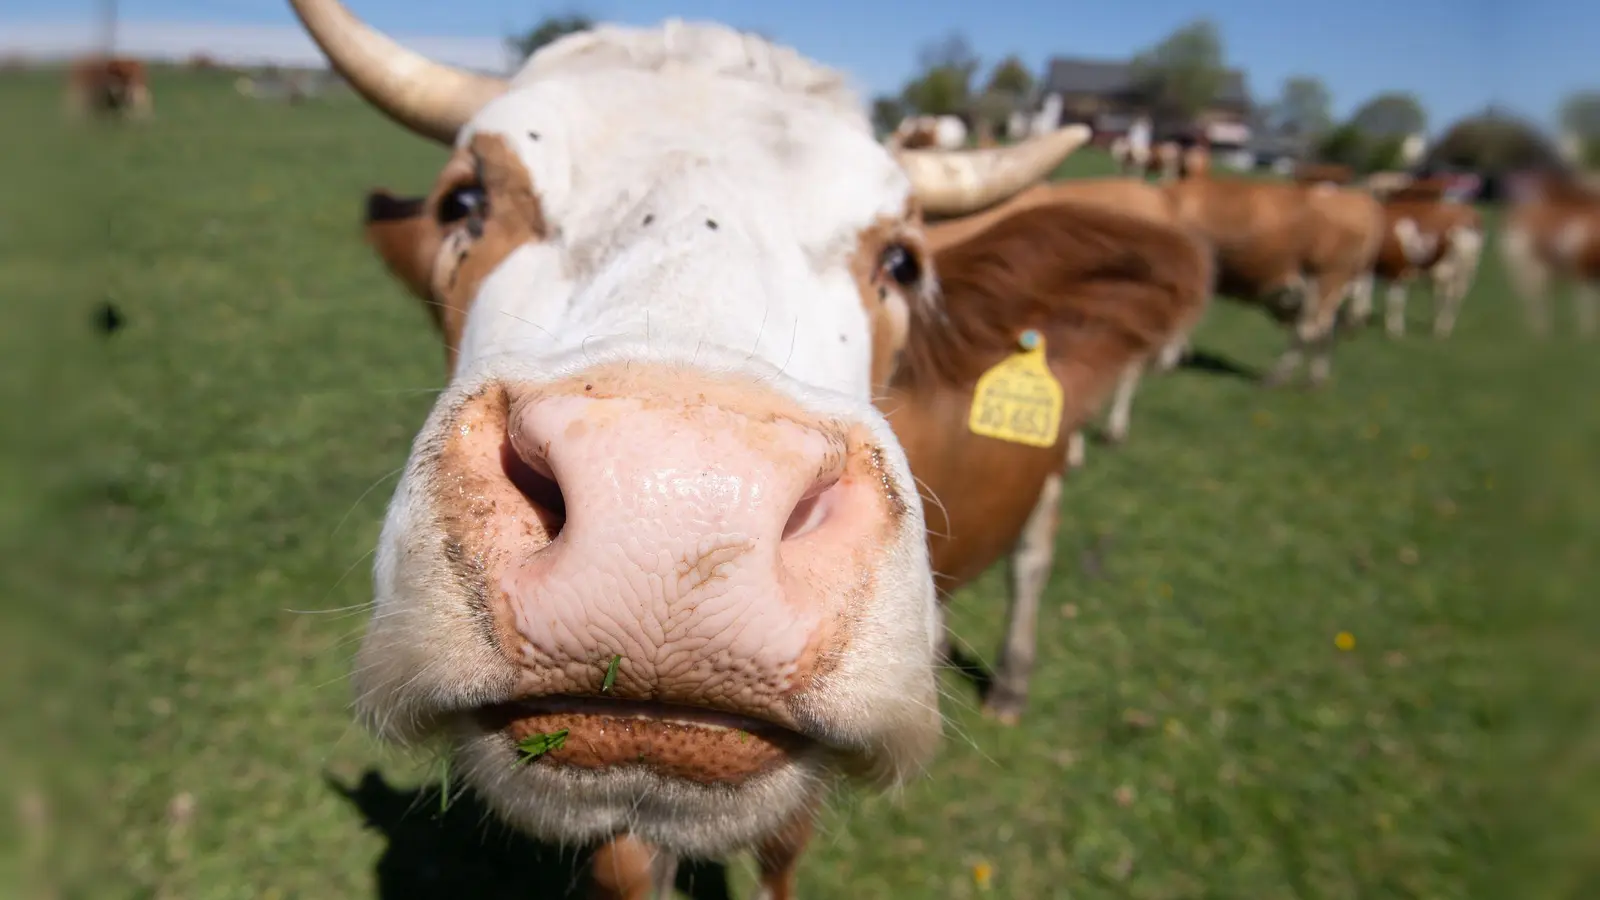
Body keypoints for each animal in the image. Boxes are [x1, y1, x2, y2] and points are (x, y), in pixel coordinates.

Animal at [1497, 173, 1600, 334]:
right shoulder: (1583, 269)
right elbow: (1587, 303)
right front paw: (1587, 333)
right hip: (1533, 267)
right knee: (1536, 298)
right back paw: (1541, 331)